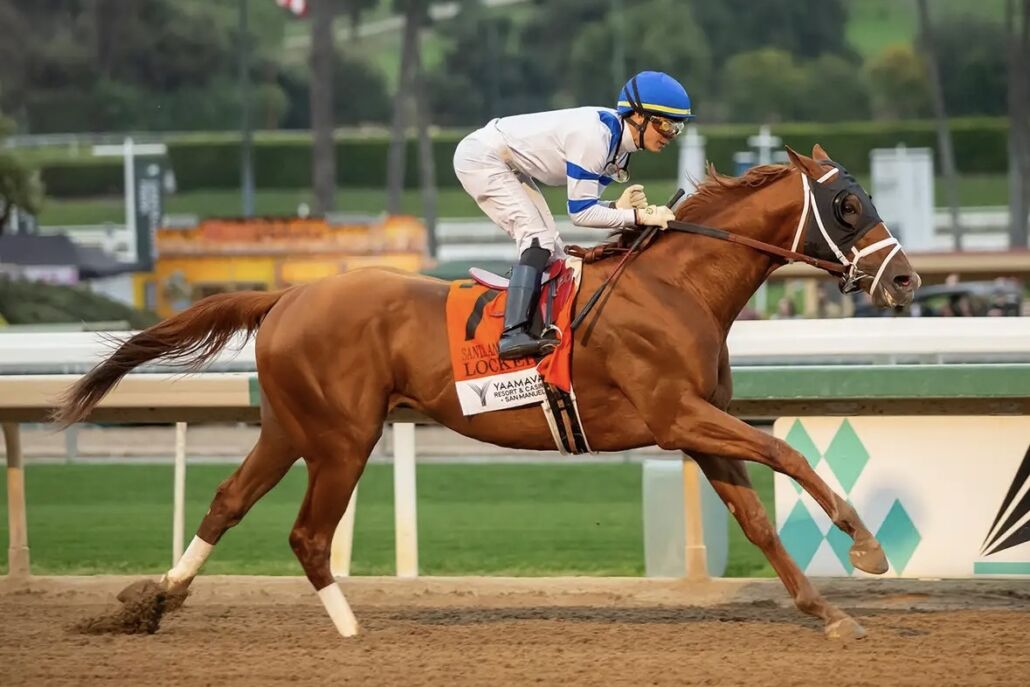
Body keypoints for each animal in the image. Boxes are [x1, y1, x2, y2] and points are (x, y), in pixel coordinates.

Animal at [57, 145, 920, 641]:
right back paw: (350, 631)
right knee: (307, 533)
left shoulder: (696, 425)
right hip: (342, 435)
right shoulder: (682, 414)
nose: (907, 278)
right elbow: (784, 452)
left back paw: (152, 604)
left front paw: (827, 611)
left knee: (227, 502)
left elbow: (756, 517)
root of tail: (287, 294)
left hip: (290, 427)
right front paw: (865, 543)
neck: (677, 286)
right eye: (848, 205)